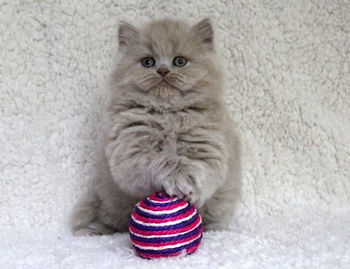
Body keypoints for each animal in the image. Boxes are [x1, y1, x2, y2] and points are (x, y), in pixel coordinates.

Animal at [71, 18, 241, 234]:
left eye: (179, 61)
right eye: (148, 62)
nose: (163, 70)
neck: (167, 113)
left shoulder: (208, 147)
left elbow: (205, 171)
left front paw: (191, 185)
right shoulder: (130, 151)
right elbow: (162, 160)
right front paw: (181, 176)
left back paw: (216, 229)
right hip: (110, 199)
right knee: (109, 218)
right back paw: (93, 230)